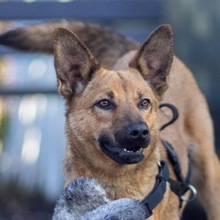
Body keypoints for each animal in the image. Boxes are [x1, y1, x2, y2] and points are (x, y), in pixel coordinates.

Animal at [0, 20, 220, 218]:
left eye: (145, 103)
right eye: (104, 103)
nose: (141, 132)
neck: (114, 181)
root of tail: (132, 49)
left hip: (210, 176)